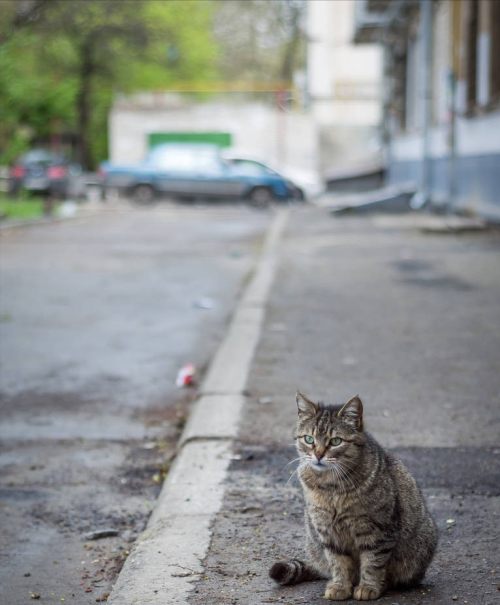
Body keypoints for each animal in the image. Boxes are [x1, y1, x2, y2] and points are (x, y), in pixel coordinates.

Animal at [270, 392, 438, 600]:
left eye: (335, 441)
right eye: (309, 439)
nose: (318, 455)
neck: (330, 486)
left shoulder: (378, 531)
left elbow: (373, 562)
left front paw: (368, 586)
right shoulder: (328, 533)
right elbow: (338, 562)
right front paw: (340, 586)